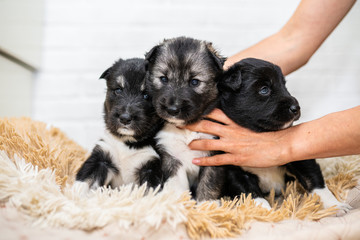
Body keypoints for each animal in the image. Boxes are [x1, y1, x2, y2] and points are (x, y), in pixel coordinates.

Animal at [77, 57, 165, 189]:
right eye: (118, 90)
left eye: (146, 95)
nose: (125, 118)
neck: (126, 142)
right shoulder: (101, 157)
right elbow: (84, 180)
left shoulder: (151, 167)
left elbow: (151, 191)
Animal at [144, 36, 225, 196]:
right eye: (163, 79)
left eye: (194, 82)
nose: (172, 109)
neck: (186, 129)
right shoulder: (171, 157)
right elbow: (177, 187)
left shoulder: (213, 158)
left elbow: (208, 186)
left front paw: (206, 202)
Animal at [197, 58, 352, 212]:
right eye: (264, 89)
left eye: (284, 86)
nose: (296, 108)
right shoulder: (235, 172)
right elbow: (253, 195)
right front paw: (267, 212)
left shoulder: (299, 158)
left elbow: (315, 182)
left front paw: (335, 206)